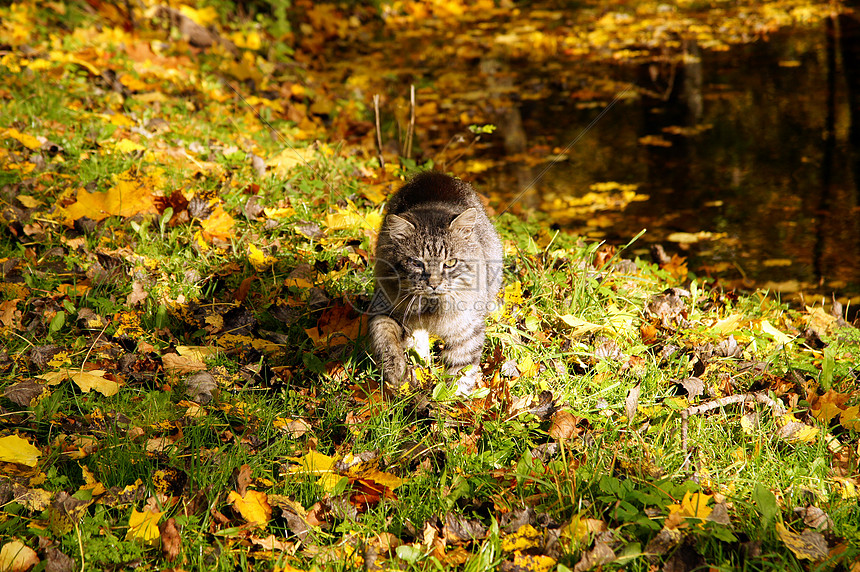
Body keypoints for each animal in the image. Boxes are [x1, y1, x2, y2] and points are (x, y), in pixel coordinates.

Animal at [370, 172, 504, 396]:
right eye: (416, 263)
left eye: (450, 263)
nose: (433, 283)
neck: (430, 309)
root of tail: (434, 174)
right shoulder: (383, 307)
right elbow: (383, 337)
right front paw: (397, 371)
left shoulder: (467, 328)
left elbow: (461, 367)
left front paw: (451, 399)